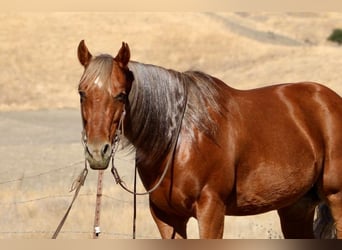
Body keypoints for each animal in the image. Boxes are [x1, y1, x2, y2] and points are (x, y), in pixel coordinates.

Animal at [77, 40, 342, 239]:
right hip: (295, 207)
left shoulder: (211, 210)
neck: (178, 140)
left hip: (335, 197)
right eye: (82, 93)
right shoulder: (167, 217)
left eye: (121, 95)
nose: (97, 152)